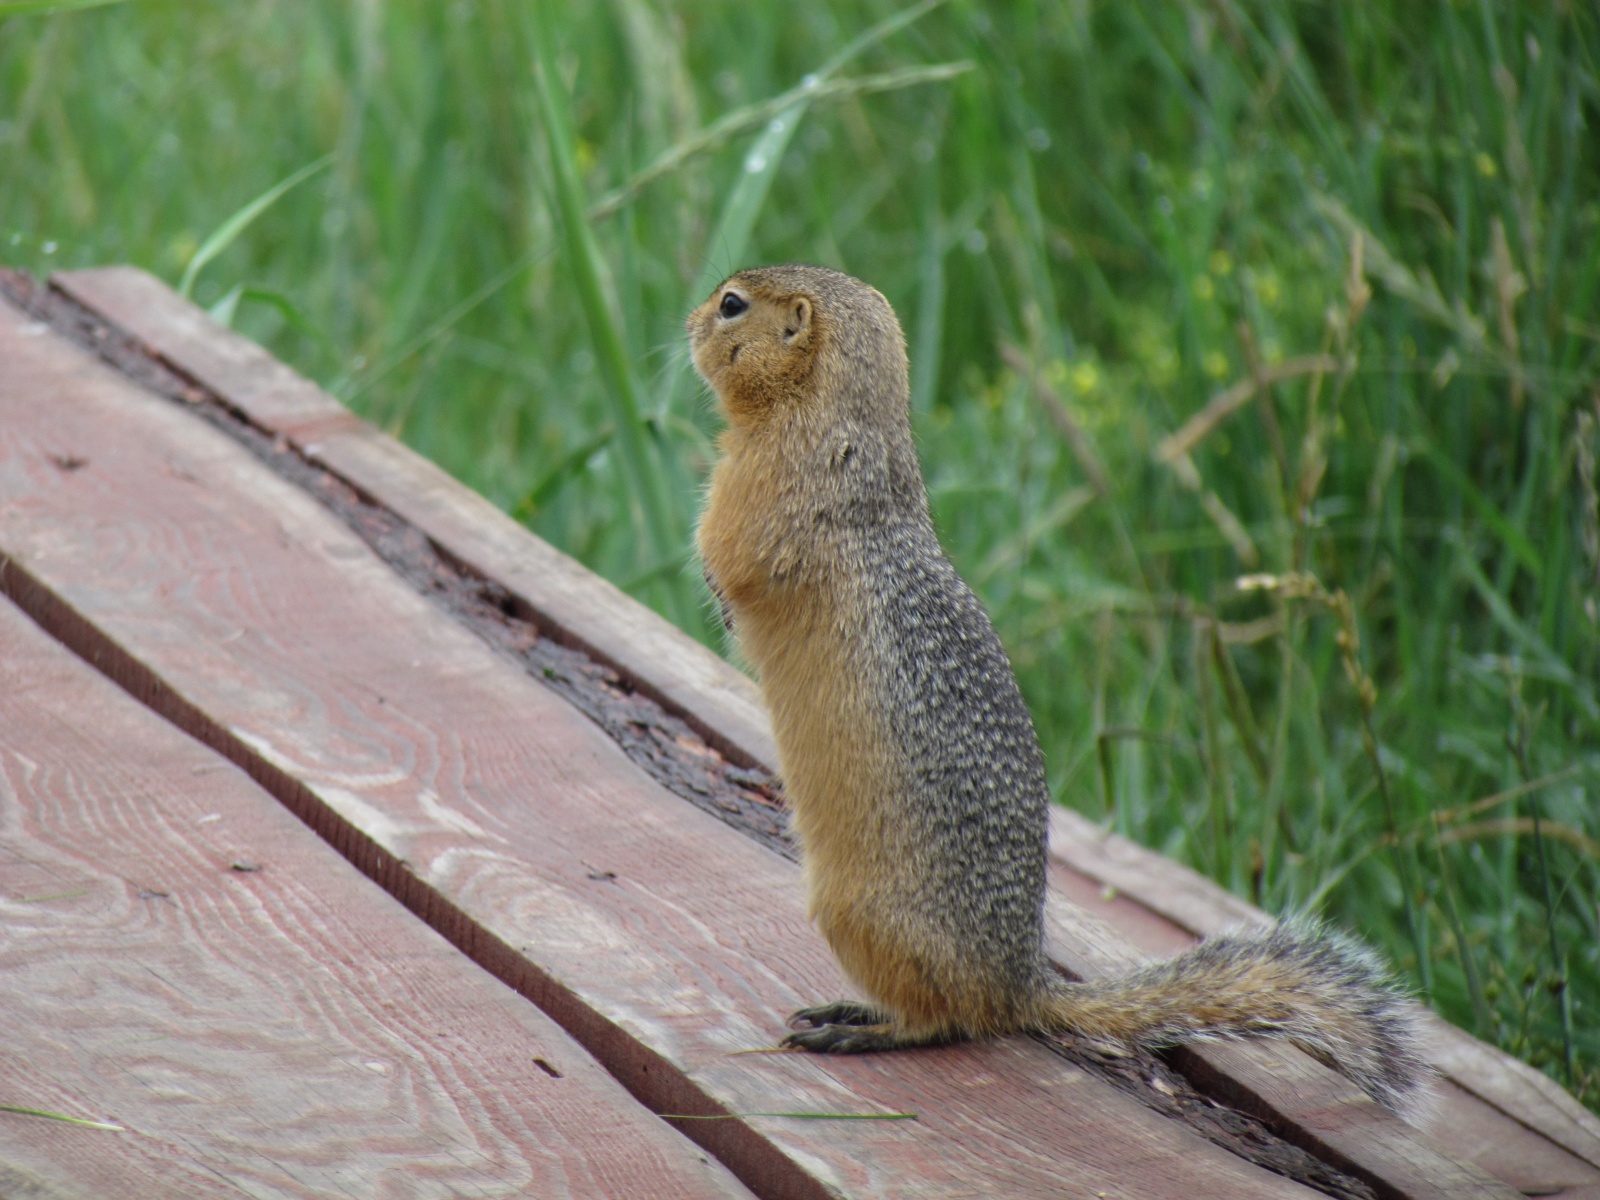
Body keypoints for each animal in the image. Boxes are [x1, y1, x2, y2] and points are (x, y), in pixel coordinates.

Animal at [689, 263, 1432, 1119]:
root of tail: (1020, 985)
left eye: (732, 304)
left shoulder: (762, 494)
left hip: (861, 914)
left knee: (946, 1019)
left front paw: (717, 591)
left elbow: (728, 551)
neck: (843, 424)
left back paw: (862, 1026)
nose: (688, 322)